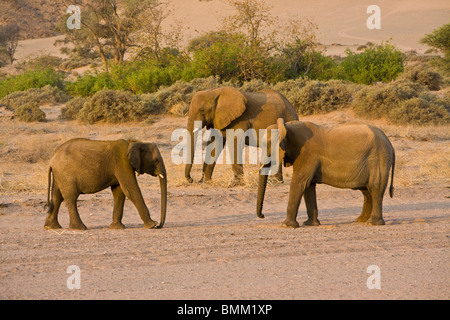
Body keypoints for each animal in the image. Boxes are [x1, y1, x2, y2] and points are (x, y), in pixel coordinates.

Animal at [256, 118, 394, 228]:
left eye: (266, 145)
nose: (262, 215)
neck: (287, 126)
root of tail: (390, 144)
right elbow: (308, 186)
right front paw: (310, 224)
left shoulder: (308, 154)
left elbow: (300, 182)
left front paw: (286, 225)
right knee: (367, 191)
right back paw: (360, 220)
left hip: (378, 158)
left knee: (375, 187)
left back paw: (372, 223)